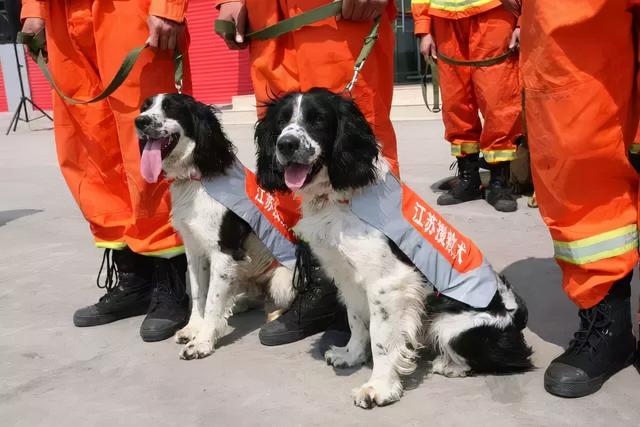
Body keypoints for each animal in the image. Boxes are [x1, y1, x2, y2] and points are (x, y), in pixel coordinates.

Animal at [136, 94, 296, 362]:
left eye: (171, 108)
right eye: (145, 107)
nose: (139, 121)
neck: (196, 179)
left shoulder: (224, 253)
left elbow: (212, 299)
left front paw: (202, 341)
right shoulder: (194, 249)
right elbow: (200, 293)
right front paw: (193, 329)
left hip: (283, 279)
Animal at [252, 88, 532, 412]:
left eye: (318, 120)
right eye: (281, 122)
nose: (286, 144)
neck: (339, 196)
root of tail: (517, 315)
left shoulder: (389, 283)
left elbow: (381, 338)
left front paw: (379, 387)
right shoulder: (348, 278)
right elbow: (356, 321)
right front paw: (350, 355)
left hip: (452, 327)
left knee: (500, 360)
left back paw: (448, 365)